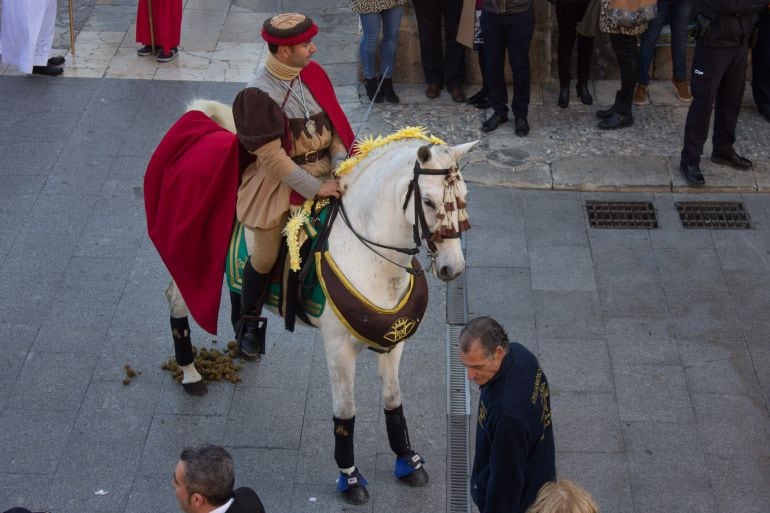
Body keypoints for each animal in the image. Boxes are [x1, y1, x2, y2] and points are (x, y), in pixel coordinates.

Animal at [158, 101, 474, 504]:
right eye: (430, 202)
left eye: (463, 197)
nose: (453, 267)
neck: (368, 254)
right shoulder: (338, 347)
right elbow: (346, 411)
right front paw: (350, 477)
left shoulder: (392, 342)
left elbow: (393, 399)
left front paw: (407, 460)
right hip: (192, 266)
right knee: (177, 300)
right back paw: (191, 373)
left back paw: (247, 340)